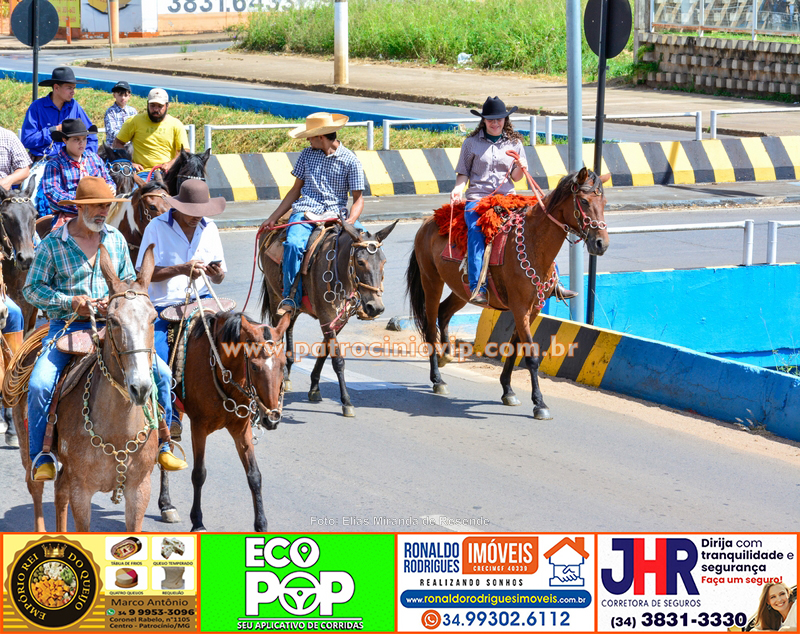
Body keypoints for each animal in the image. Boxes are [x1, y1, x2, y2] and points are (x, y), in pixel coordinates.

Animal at [155, 309, 290, 532]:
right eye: (254, 367)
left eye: (283, 364)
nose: (271, 418)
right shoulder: (198, 428)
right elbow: (199, 473)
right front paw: (197, 522)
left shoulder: (241, 429)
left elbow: (254, 475)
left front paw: (261, 524)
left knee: (169, 440)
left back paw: (166, 503)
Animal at [259, 220, 398, 417]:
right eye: (360, 262)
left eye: (383, 261)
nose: (375, 307)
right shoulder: (326, 317)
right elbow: (338, 360)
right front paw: (346, 401)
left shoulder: (338, 320)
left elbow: (324, 351)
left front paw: (314, 387)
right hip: (274, 296)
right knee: (278, 331)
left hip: (294, 304)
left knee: (289, 325)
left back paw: (287, 372)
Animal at [406, 167, 610, 420]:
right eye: (583, 201)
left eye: (604, 202)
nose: (601, 244)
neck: (533, 242)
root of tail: (427, 222)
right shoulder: (520, 308)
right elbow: (531, 356)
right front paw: (539, 404)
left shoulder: (532, 310)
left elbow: (514, 349)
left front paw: (508, 391)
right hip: (432, 281)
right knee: (430, 323)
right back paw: (437, 379)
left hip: (462, 291)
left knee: (444, 313)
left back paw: (446, 356)